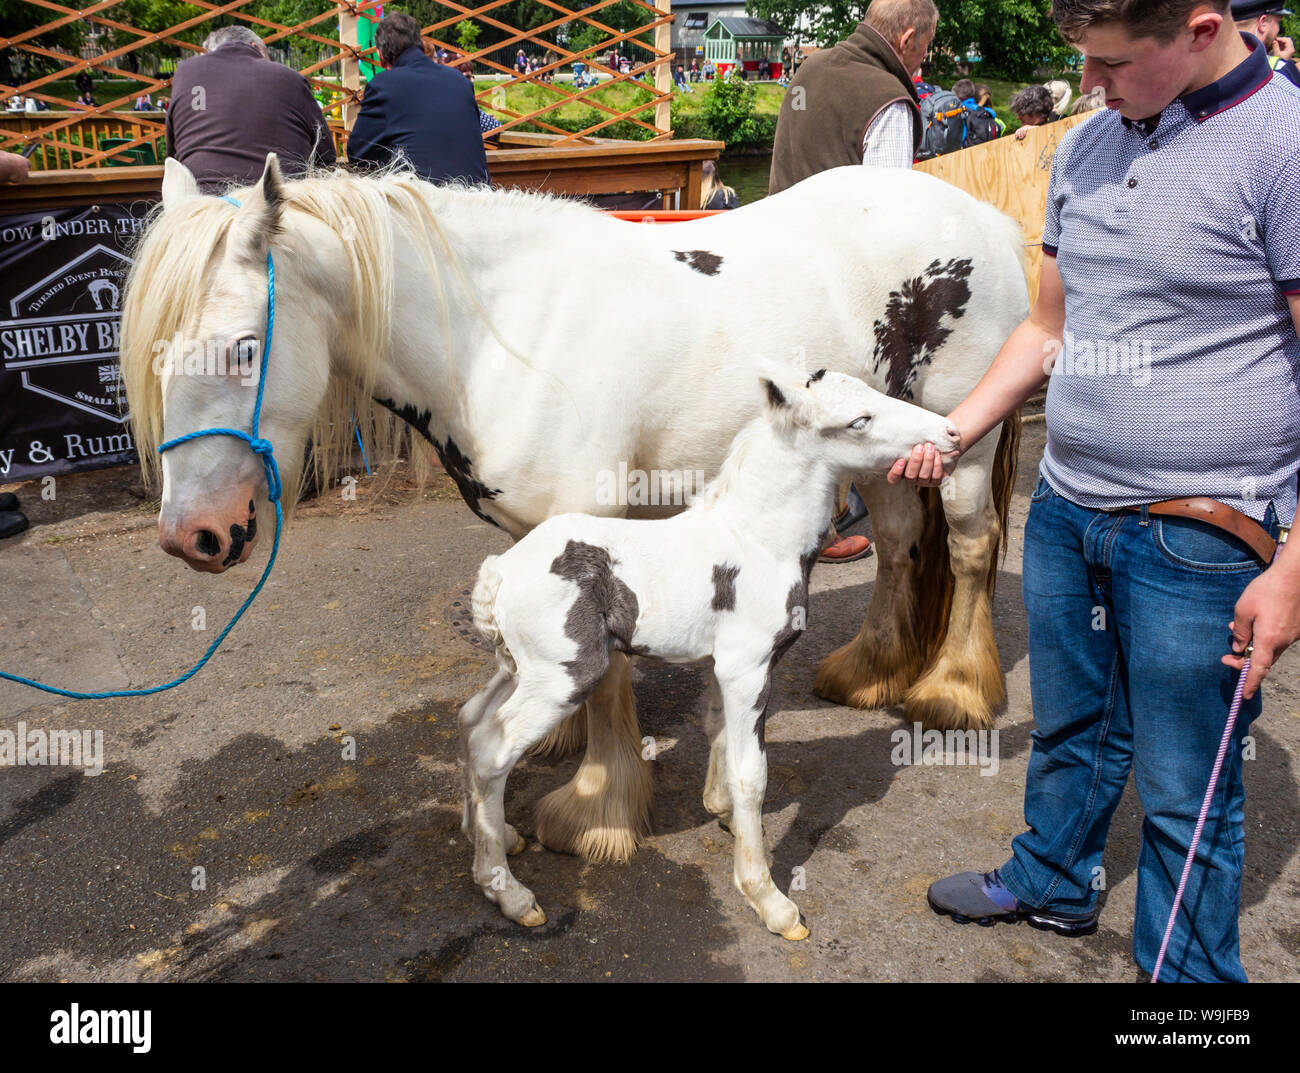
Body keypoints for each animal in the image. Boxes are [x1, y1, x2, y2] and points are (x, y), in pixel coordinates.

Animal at [122, 156, 1029, 863]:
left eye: (243, 347)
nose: (190, 535)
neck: (504, 336)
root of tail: (984, 218)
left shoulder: (593, 512)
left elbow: (611, 680)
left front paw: (597, 809)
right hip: (883, 450)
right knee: (903, 545)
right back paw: (872, 670)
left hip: (960, 445)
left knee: (971, 547)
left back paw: (952, 688)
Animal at [457, 369, 956, 936]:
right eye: (859, 421)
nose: (951, 434)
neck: (759, 539)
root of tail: (500, 570)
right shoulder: (749, 669)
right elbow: (751, 775)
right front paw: (768, 899)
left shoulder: (724, 668)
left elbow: (718, 735)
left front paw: (721, 813)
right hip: (563, 678)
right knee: (491, 750)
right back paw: (508, 892)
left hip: (516, 669)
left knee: (471, 722)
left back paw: (496, 836)